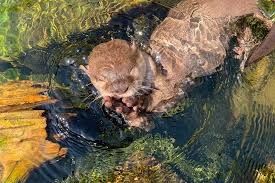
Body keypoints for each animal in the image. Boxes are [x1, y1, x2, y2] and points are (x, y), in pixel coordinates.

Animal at [82, 0, 275, 130]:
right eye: (100, 79)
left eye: (131, 69)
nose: (120, 89)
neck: (156, 64)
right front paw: (124, 110)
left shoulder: (171, 83)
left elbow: (164, 97)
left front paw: (136, 102)